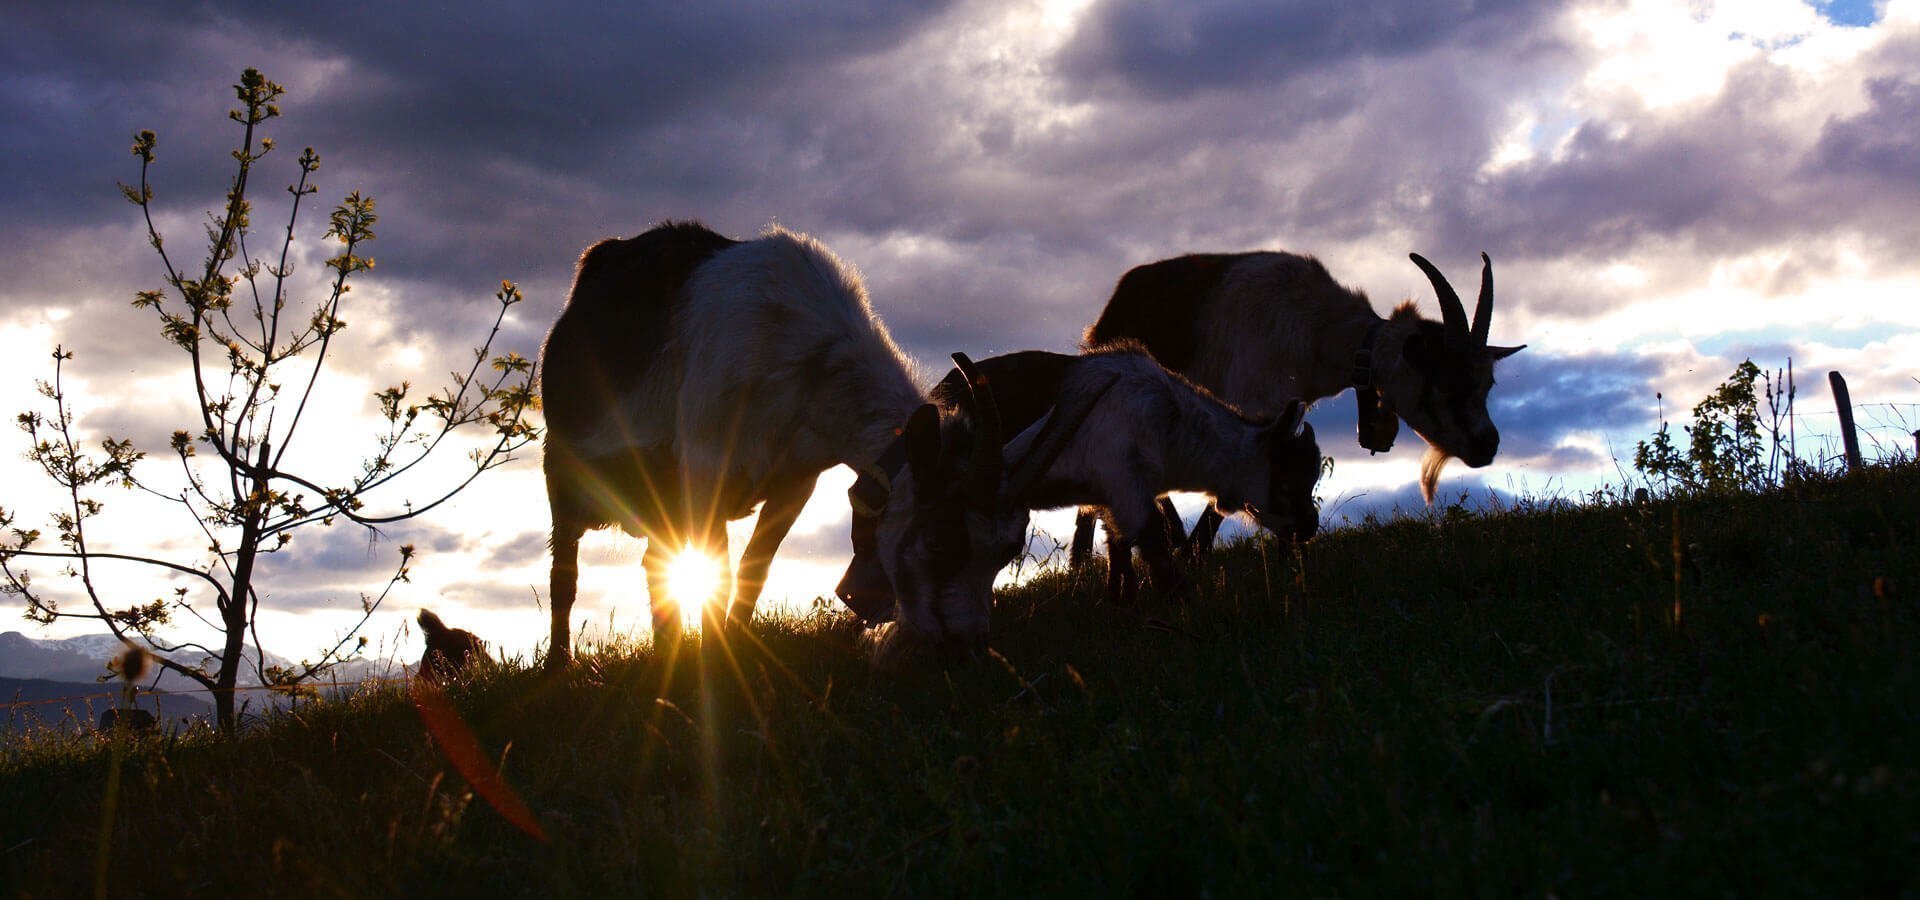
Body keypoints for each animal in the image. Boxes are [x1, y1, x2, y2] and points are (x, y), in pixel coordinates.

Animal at [541, 219, 1090, 667]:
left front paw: (733, 651)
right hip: (564, 468)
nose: (961, 648)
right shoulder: (704, 467)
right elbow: (716, 572)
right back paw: (559, 670)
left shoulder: (796, 481)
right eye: (937, 539)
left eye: (1007, 550)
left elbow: (754, 570)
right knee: (565, 573)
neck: (801, 360)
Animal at [1082, 245, 1528, 568]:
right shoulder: (1253, 404)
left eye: (1487, 383)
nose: (1486, 444)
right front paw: (1194, 554)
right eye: (1445, 380)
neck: (1316, 329)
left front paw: (1288, 559)